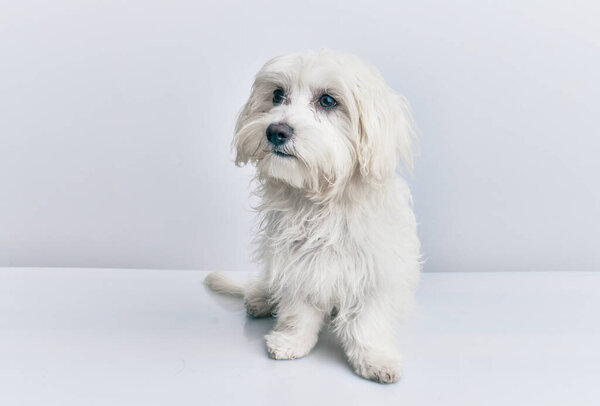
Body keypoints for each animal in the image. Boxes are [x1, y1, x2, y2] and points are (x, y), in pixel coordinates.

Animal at [204, 50, 420, 384]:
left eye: (328, 101)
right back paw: (260, 299)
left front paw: (374, 357)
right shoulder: (295, 264)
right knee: (264, 285)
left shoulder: (376, 270)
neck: (321, 202)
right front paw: (292, 341)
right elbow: (298, 311)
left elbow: (368, 321)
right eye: (277, 95)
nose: (275, 131)